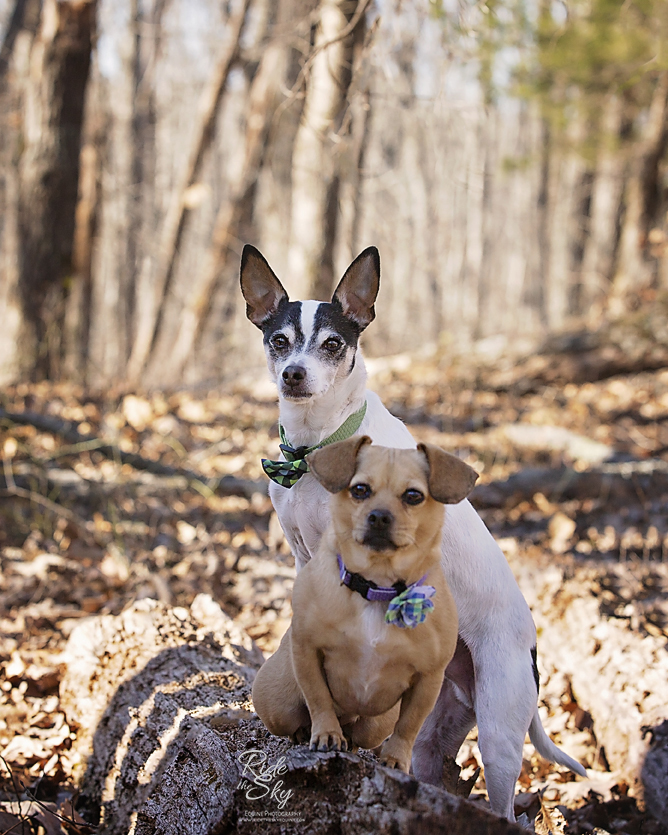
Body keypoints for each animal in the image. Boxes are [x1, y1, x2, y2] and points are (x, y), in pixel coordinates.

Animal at [253, 440, 478, 772]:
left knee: (362, 735)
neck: (376, 587)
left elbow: (409, 726)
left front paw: (396, 759)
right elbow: (319, 698)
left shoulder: (429, 679)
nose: (380, 516)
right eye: (359, 489)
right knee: (296, 718)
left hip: (377, 722)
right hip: (277, 702)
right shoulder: (307, 651)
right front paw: (326, 733)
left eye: (414, 496)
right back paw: (307, 732)